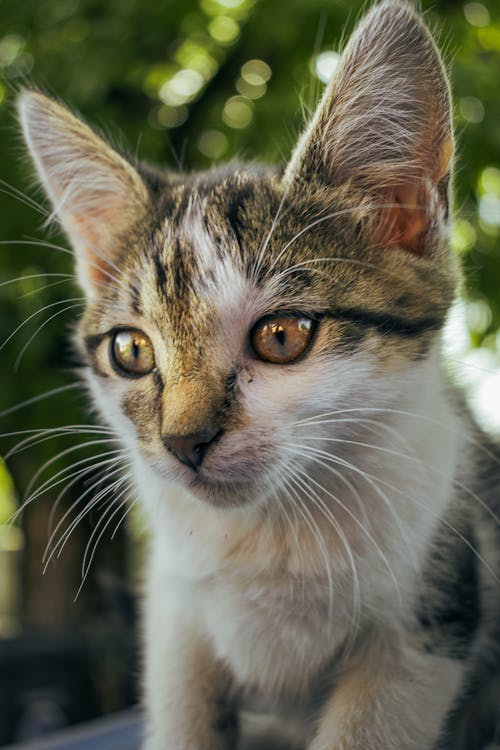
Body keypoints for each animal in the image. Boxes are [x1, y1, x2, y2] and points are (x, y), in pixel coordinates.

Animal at [17, 1, 500, 750]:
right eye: (131, 351)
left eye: (281, 336)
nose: (184, 442)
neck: (272, 532)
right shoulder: (174, 612)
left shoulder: (429, 621)